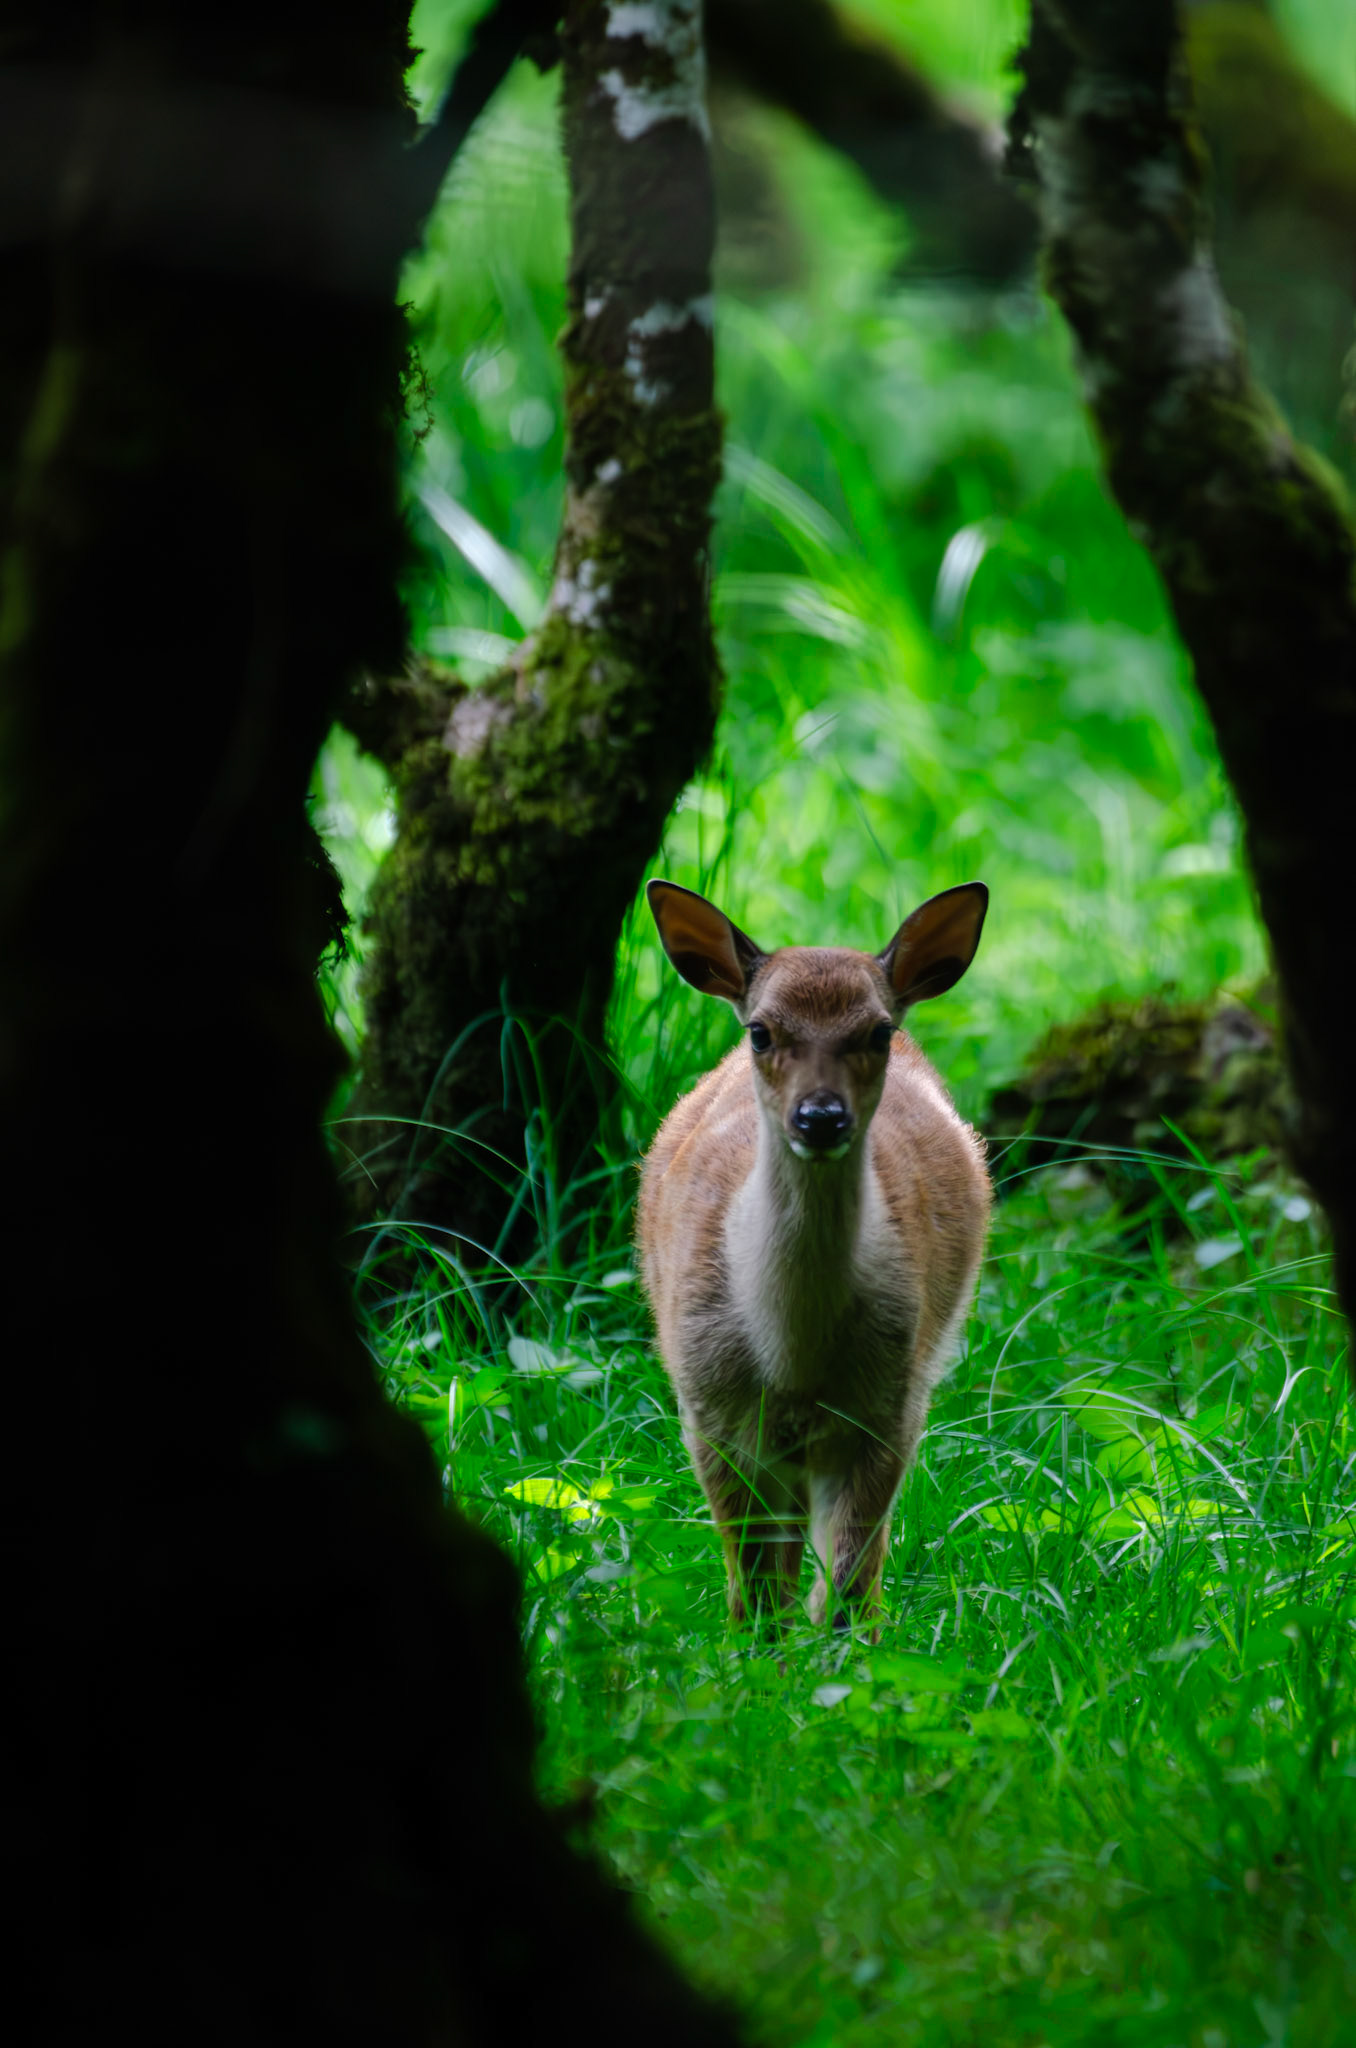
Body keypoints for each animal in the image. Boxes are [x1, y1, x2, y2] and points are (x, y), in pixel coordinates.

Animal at [637, 877, 991, 1634]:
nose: (820, 1117)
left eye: (878, 1031)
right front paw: (756, 1653)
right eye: (762, 1031)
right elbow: (752, 1588)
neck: (792, 1358)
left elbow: (849, 1588)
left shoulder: (887, 1407)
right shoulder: (708, 1407)